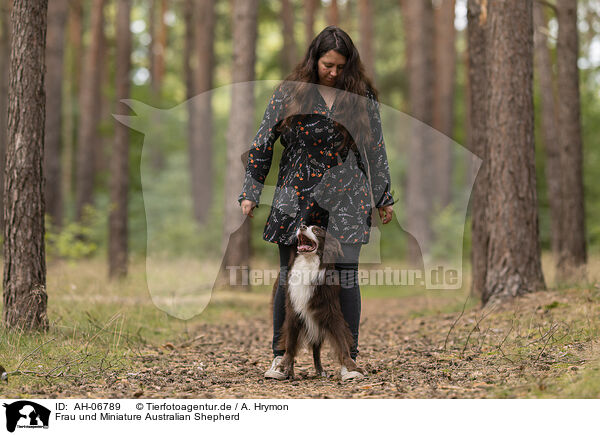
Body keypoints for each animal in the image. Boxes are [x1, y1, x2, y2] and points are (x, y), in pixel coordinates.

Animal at [274, 225, 366, 382]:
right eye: (305, 226)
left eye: (317, 231)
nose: (302, 226)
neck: (308, 263)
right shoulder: (293, 313)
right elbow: (290, 344)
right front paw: (284, 364)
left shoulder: (331, 314)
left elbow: (343, 343)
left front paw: (352, 367)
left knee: (316, 350)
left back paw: (320, 371)